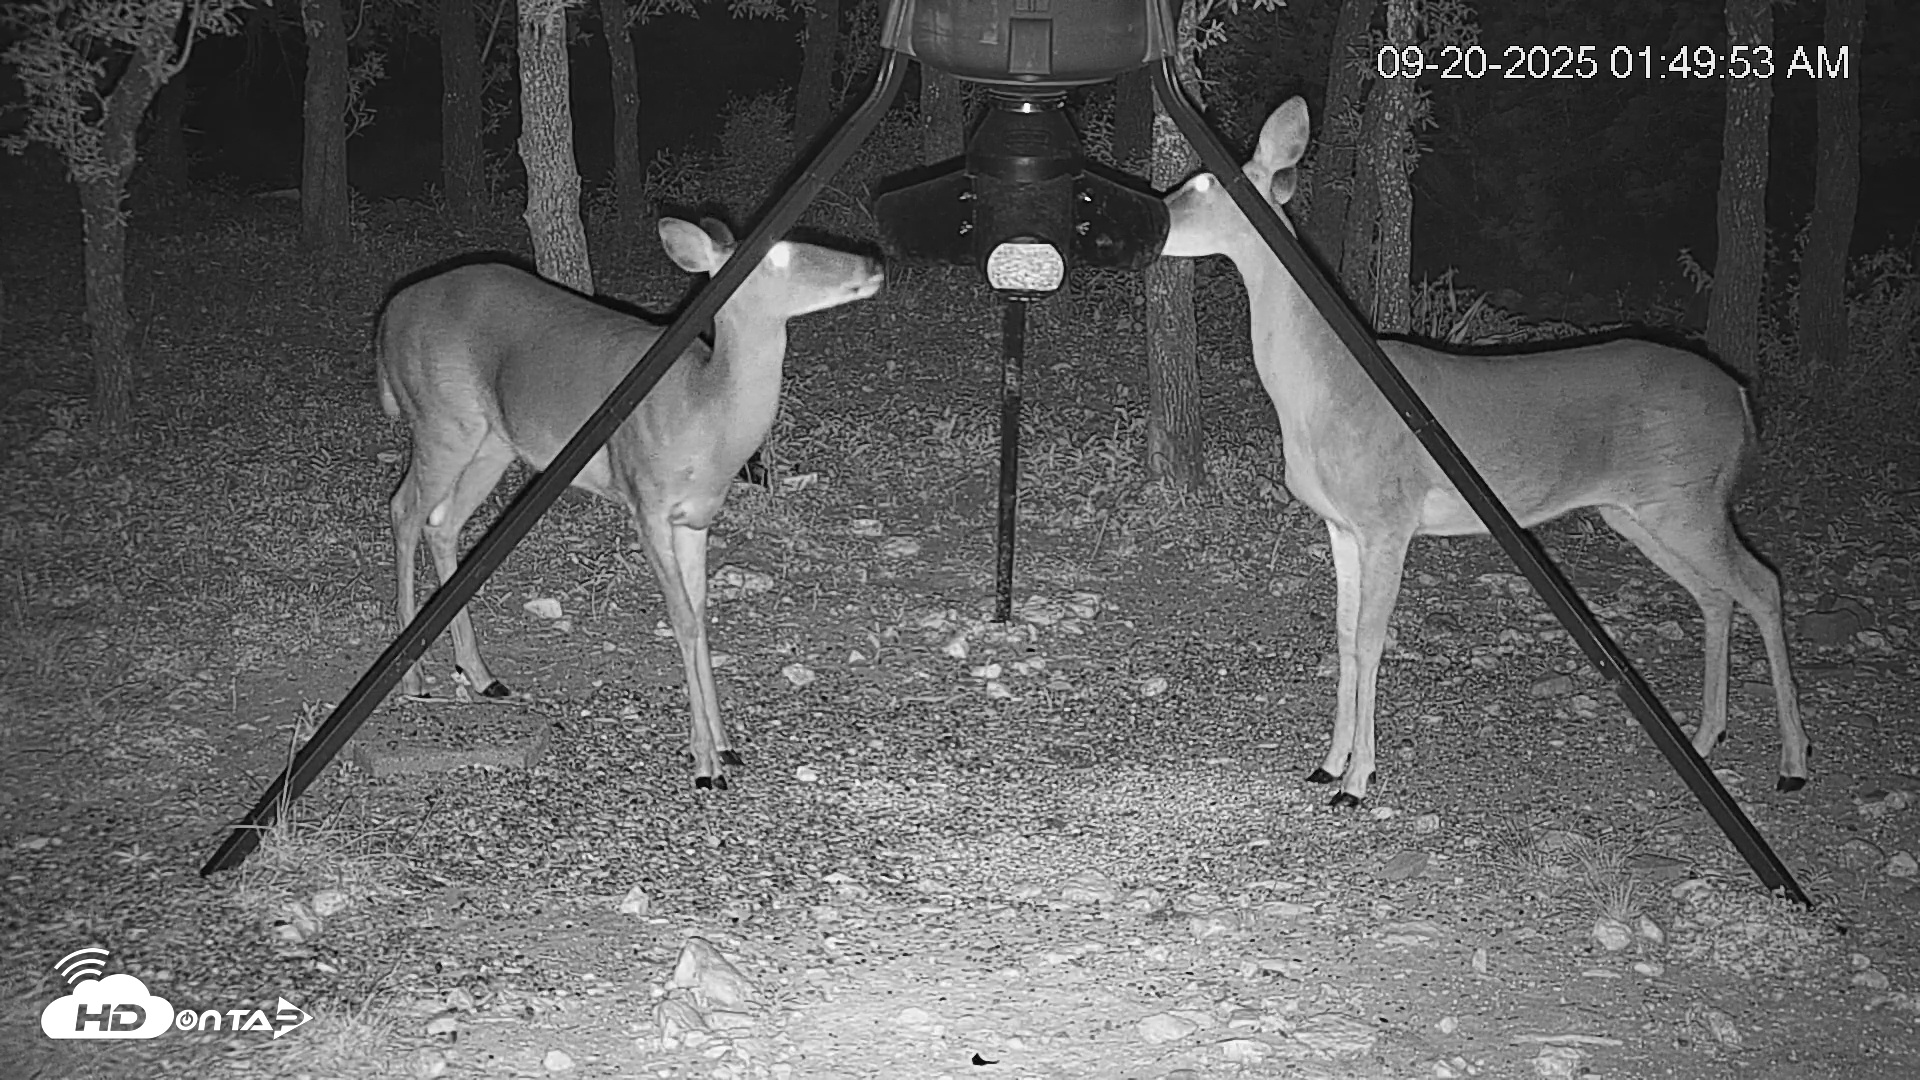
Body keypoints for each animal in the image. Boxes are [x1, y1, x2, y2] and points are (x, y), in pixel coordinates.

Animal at [375, 217, 885, 789]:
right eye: (775, 254)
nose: (873, 263)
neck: (702, 412)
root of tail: (390, 314)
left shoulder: (696, 519)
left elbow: (700, 614)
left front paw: (725, 747)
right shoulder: (647, 503)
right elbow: (681, 618)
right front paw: (704, 765)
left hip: (492, 442)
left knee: (442, 523)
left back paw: (483, 675)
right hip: (441, 420)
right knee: (404, 510)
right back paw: (413, 679)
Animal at [1158, 97, 1810, 807]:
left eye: (1201, 183)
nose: (1153, 214)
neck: (1327, 385)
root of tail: (1741, 399)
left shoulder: (1390, 519)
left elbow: (1371, 640)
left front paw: (1358, 781)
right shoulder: (1341, 524)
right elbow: (1343, 635)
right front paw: (1327, 764)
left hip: (1688, 498)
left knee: (1763, 583)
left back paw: (1793, 762)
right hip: (1643, 512)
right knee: (1717, 595)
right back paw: (1707, 736)